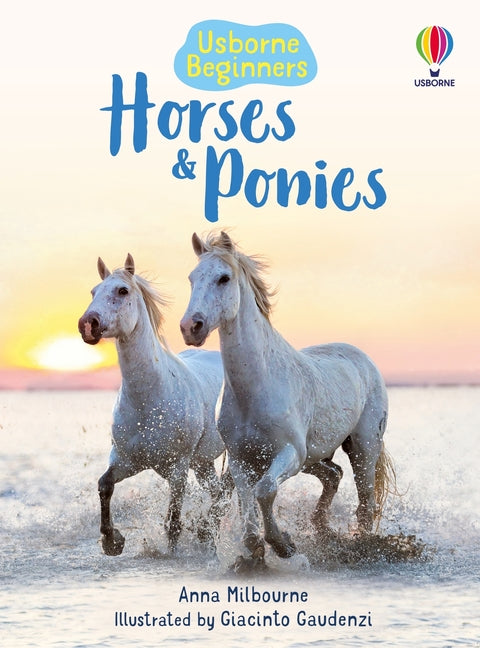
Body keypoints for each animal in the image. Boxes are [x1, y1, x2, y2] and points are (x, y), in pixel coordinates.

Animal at [78, 254, 231, 556]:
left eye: (122, 291)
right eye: (93, 291)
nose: (87, 324)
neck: (149, 402)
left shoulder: (177, 469)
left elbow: (172, 523)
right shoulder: (126, 461)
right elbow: (104, 485)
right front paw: (112, 541)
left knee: (225, 491)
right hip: (203, 462)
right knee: (217, 491)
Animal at [180, 232, 394, 566]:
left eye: (223, 278)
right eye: (192, 278)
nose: (191, 327)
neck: (256, 389)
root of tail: (363, 359)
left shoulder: (289, 454)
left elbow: (265, 491)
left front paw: (283, 545)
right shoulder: (242, 461)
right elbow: (247, 502)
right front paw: (256, 548)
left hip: (363, 447)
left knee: (365, 500)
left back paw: (360, 544)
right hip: (316, 457)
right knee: (333, 476)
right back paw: (321, 529)